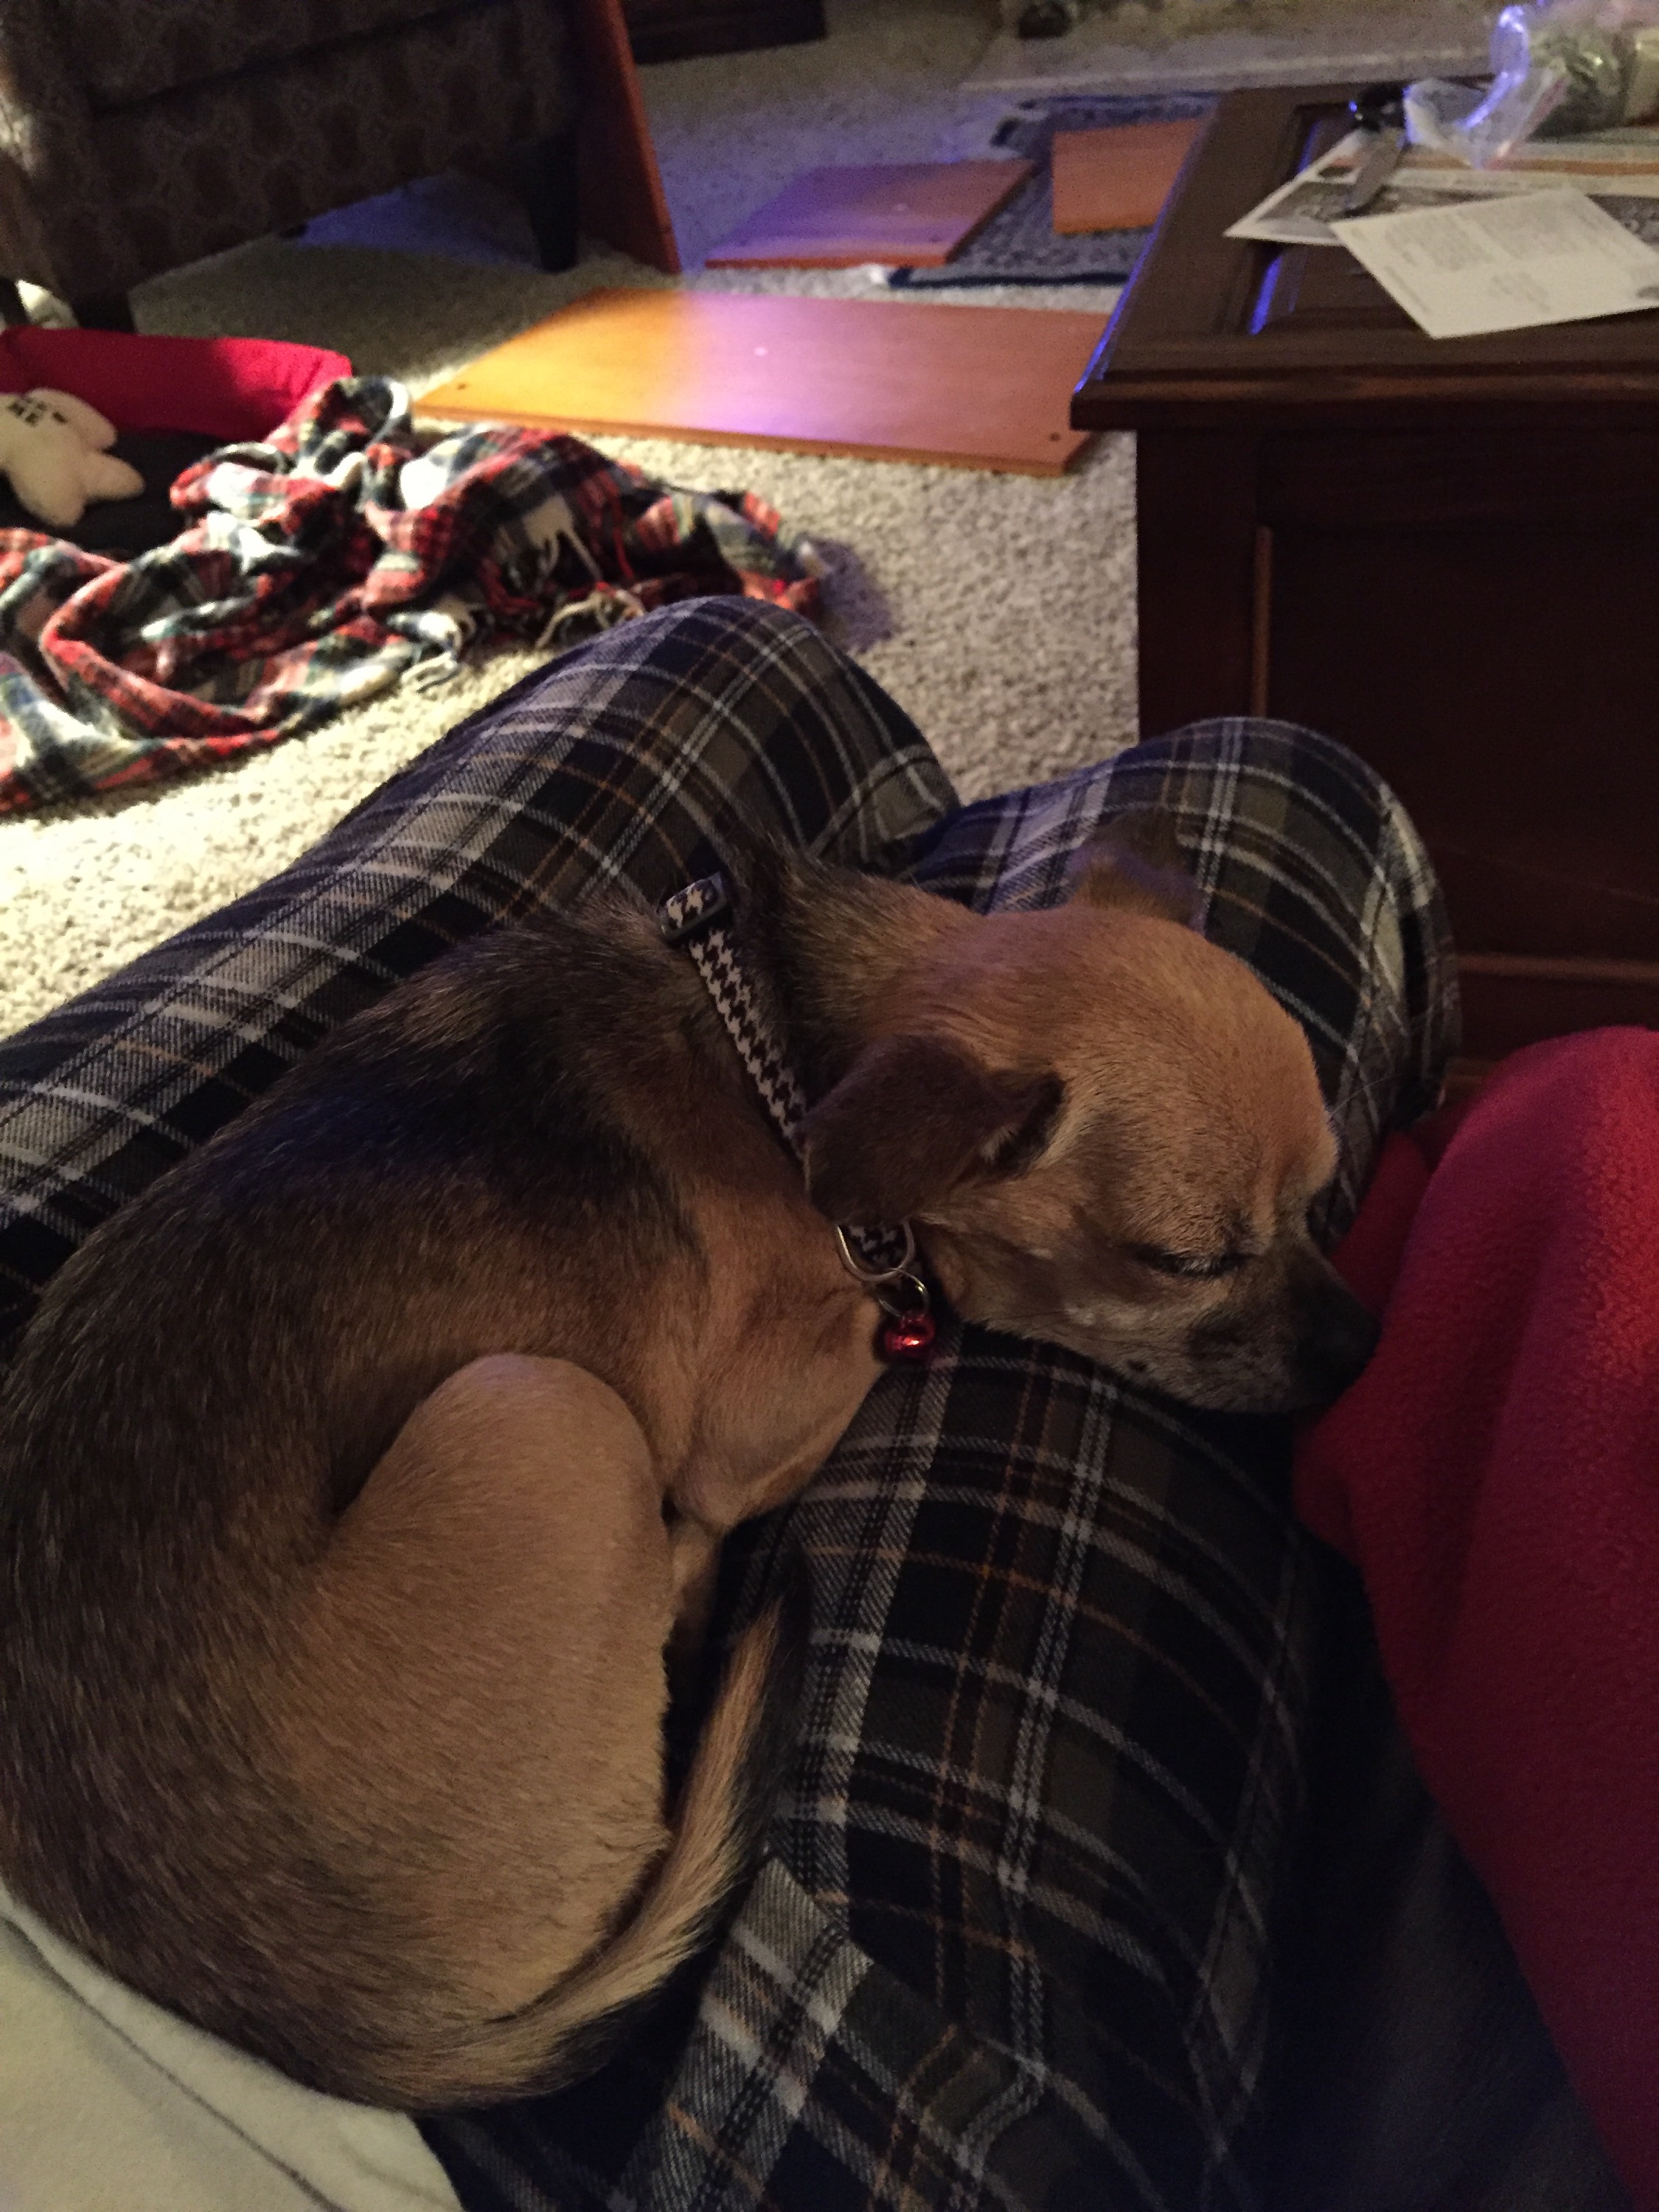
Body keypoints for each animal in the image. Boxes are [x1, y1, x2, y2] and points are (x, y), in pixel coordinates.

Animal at [0, 815, 1378, 2111]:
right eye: (1187, 1263)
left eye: (1323, 1201)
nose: (1364, 1345)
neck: (782, 1056)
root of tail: (335, 2034)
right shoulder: (753, 1414)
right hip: (540, 1403)